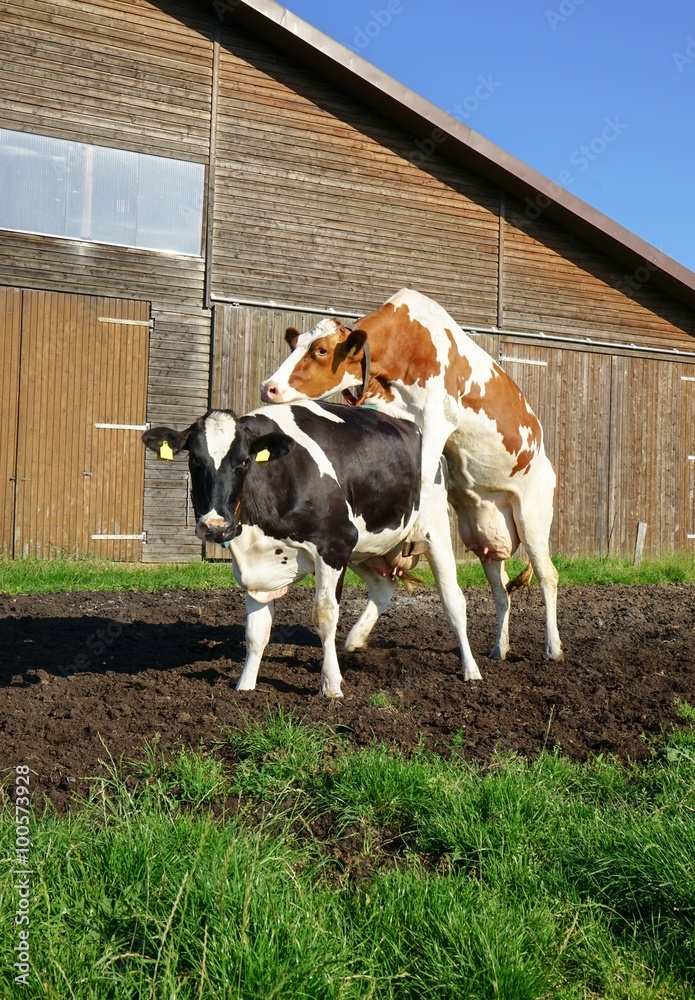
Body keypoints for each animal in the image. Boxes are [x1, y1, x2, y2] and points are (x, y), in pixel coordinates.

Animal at [142, 400, 480, 697]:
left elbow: (324, 617)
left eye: (244, 461)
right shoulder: (256, 568)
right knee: (383, 587)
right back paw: (355, 640)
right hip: (363, 547)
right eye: (194, 460)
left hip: (433, 527)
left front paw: (330, 685)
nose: (214, 526)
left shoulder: (333, 546)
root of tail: (412, 426)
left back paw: (471, 670)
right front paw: (245, 686)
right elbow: (255, 632)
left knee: (453, 601)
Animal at [260, 288, 563, 666]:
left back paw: (553, 648)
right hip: (485, 539)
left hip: (532, 517)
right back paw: (499, 648)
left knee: (548, 576)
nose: (269, 387)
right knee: (501, 591)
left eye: (321, 351)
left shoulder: (438, 419)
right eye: (296, 344)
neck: (407, 343)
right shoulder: (386, 410)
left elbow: (425, 466)